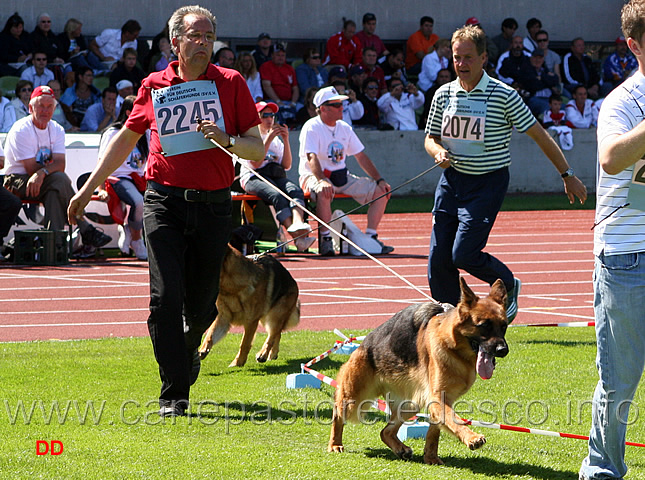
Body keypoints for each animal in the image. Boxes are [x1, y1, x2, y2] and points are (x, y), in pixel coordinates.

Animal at [330, 278, 506, 464]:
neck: (453, 347)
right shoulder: (438, 399)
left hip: (411, 404)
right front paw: (471, 438)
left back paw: (400, 449)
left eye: (504, 326)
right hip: (353, 400)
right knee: (337, 412)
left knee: (385, 432)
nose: (503, 350)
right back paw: (335, 444)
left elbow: (435, 432)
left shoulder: (440, 400)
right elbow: (454, 419)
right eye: (484, 325)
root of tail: (363, 344)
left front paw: (431, 457)